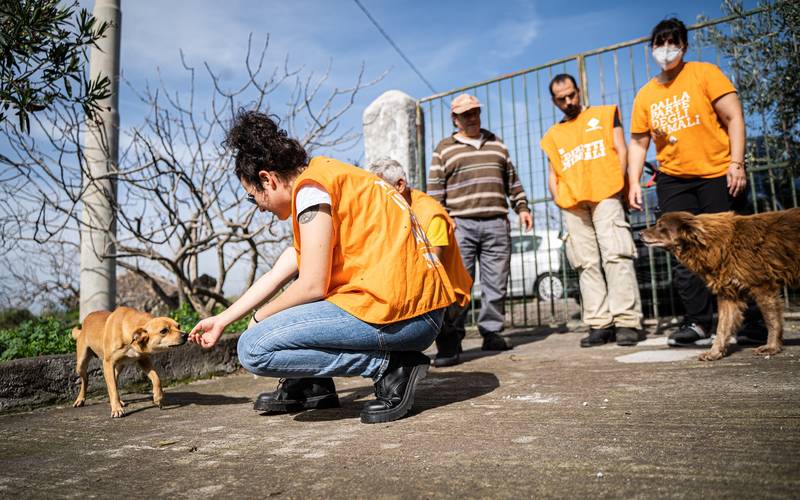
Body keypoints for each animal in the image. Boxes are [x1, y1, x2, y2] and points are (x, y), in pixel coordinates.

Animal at [640, 207, 800, 360]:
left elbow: (772, 320)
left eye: (660, 225)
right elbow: (722, 327)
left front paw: (771, 347)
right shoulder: (728, 294)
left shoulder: (763, 287)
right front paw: (714, 353)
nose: (640, 233)